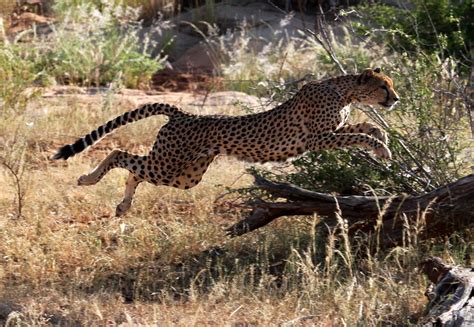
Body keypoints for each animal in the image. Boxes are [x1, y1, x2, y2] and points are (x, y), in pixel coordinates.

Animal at [51, 68, 400, 217]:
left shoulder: (332, 131)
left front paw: (382, 140)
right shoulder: (318, 138)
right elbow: (357, 134)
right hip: (170, 164)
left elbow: (365, 127)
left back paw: (124, 205)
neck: (343, 91)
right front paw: (382, 148)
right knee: (118, 152)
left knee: (135, 169)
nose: (395, 99)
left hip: (184, 175)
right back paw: (88, 178)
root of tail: (183, 113)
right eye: (383, 86)